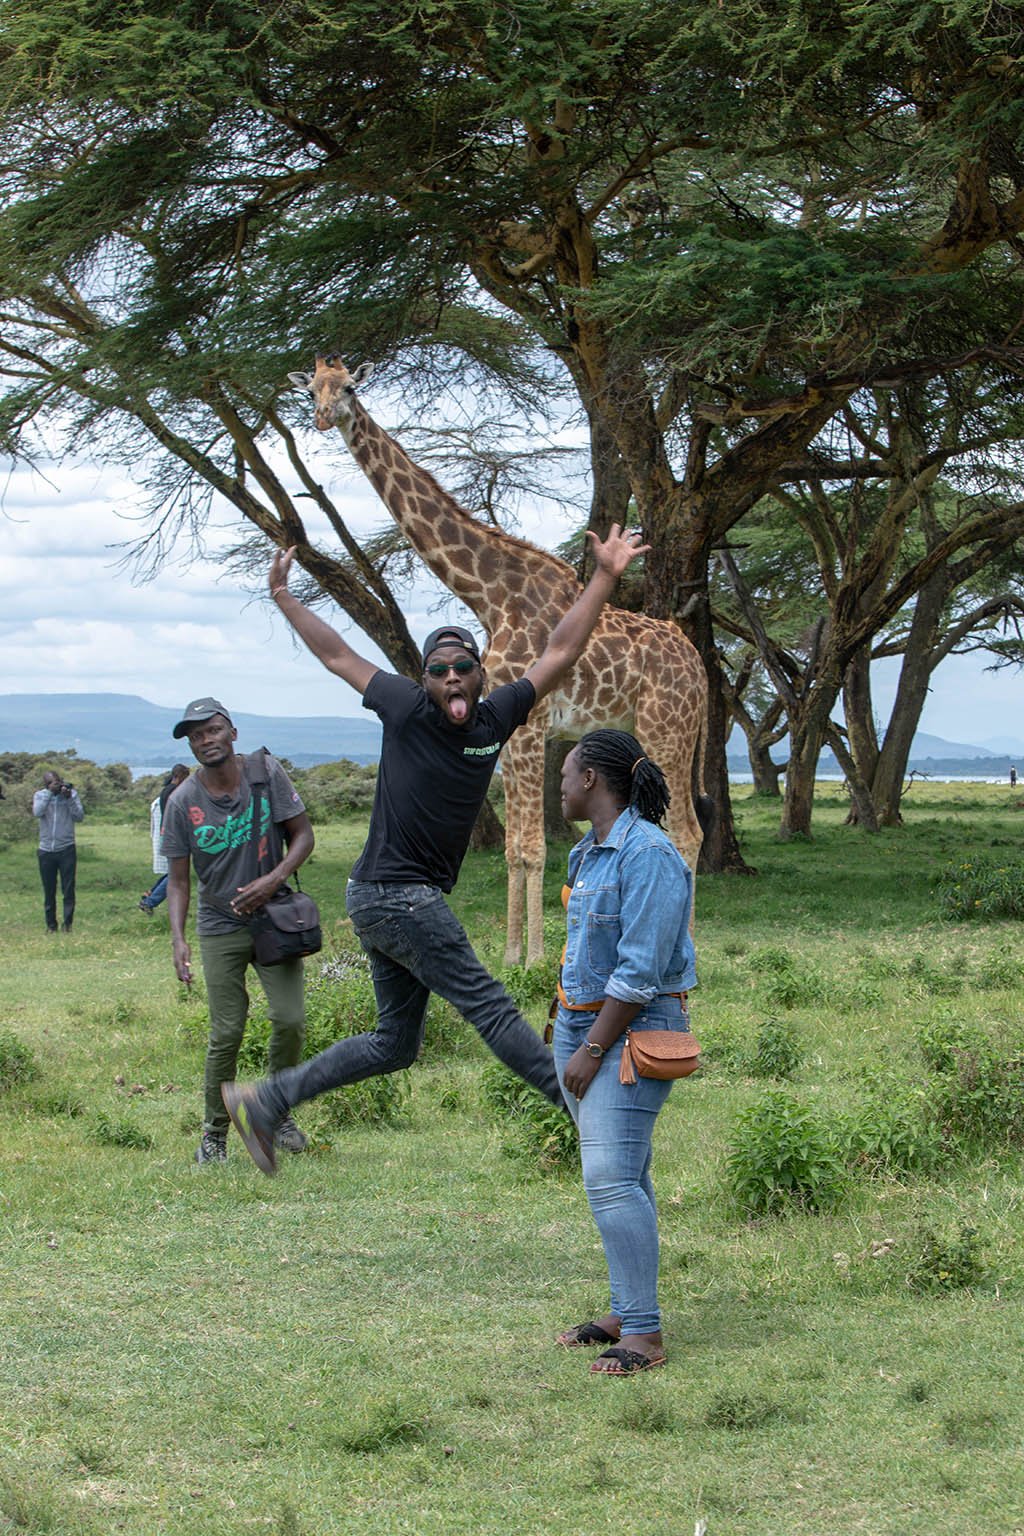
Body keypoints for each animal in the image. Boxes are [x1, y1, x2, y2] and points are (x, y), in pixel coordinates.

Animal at [288, 355, 709, 965]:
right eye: (312, 390)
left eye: (349, 388)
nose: (323, 417)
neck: (489, 594)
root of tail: (700, 667)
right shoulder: (510, 728)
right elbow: (513, 849)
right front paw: (512, 955)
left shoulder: (532, 726)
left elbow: (533, 847)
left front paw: (534, 958)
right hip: (658, 730)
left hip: (667, 730)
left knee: (686, 832)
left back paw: (689, 950)